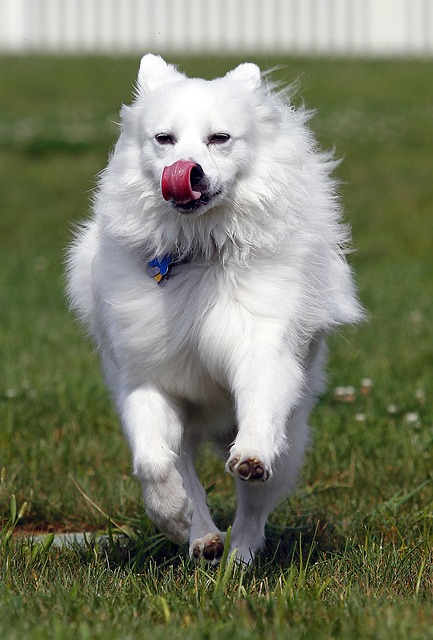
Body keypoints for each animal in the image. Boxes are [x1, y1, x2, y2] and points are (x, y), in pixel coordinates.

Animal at [66, 55, 362, 564]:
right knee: (187, 474)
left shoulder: (262, 350)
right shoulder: (147, 380)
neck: (199, 250)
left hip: (291, 441)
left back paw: (239, 557)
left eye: (219, 138)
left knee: (254, 508)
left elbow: (259, 409)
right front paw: (171, 515)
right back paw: (202, 538)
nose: (188, 170)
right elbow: (152, 462)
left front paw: (252, 456)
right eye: (164, 139)